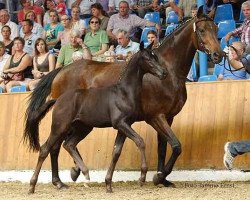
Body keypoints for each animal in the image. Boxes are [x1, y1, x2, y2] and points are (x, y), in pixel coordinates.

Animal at [25, 42, 167, 194]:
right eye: (147, 58)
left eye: (155, 57)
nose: (163, 73)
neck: (124, 93)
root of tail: (57, 99)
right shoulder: (120, 123)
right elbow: (140, 141)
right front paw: (142, 176)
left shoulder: (125, 126)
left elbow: (116, 151)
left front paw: (108, 184)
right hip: (60, 127)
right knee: (46, 149)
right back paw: (33, 186)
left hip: (82, 128)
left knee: (68, 144)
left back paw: (83, 174)